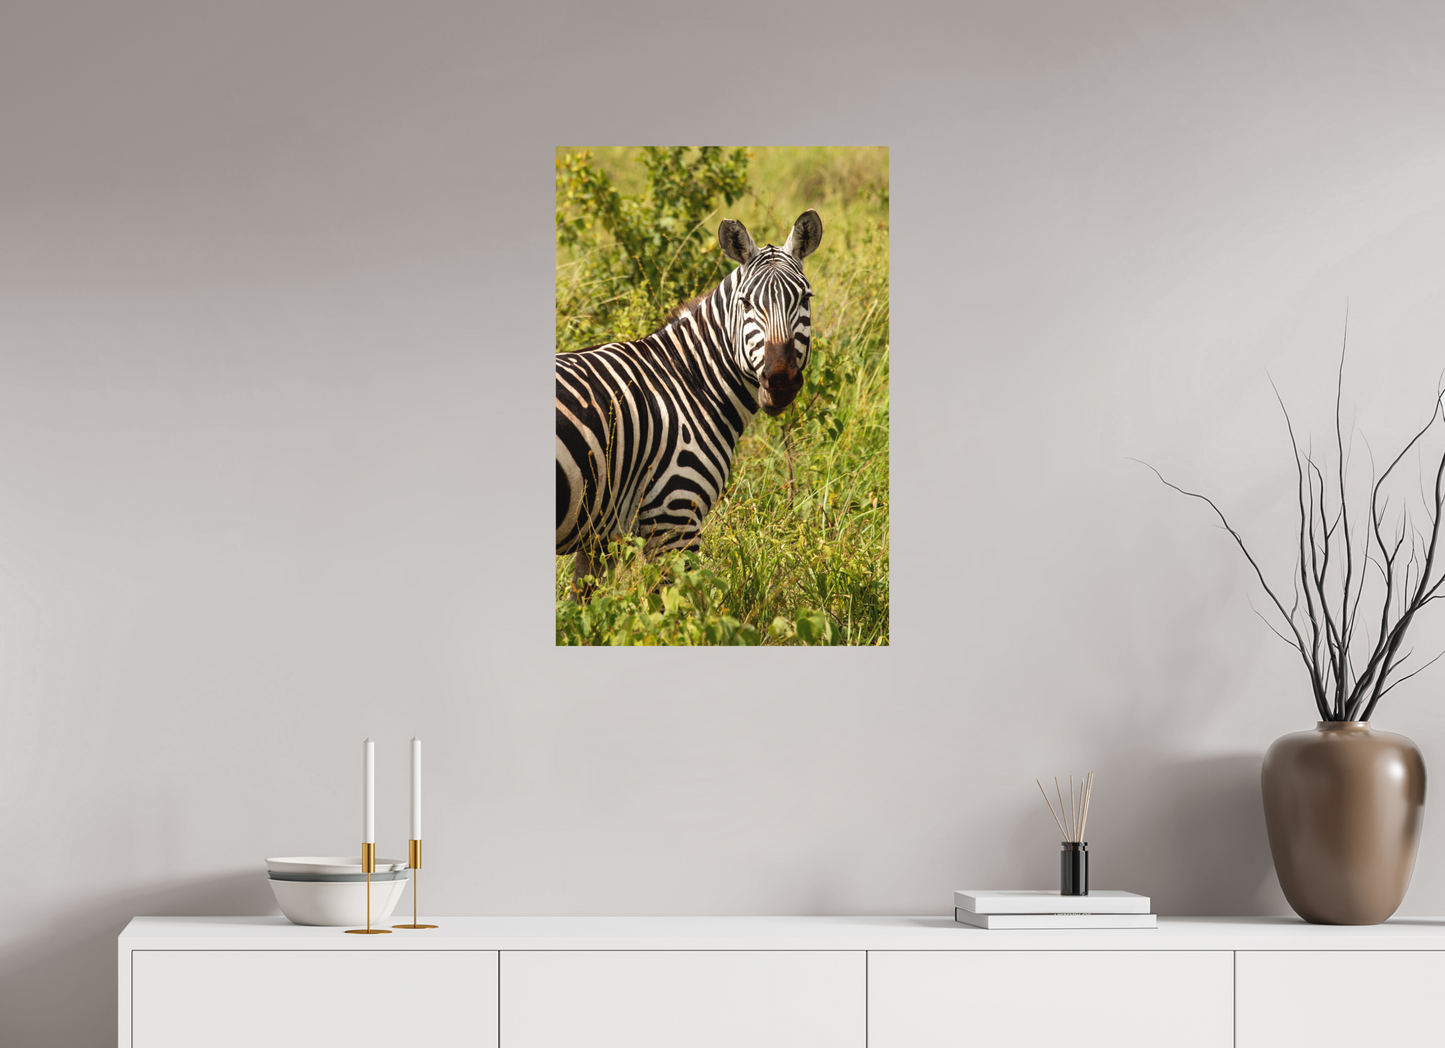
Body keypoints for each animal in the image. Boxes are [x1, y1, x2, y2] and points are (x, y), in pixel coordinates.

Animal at [556, 209, 824, 596]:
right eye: (746, 303)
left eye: (805, 299)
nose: (780, 382)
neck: (688, 378)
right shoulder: (675, 518)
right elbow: (680, 608)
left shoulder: (599, 536)